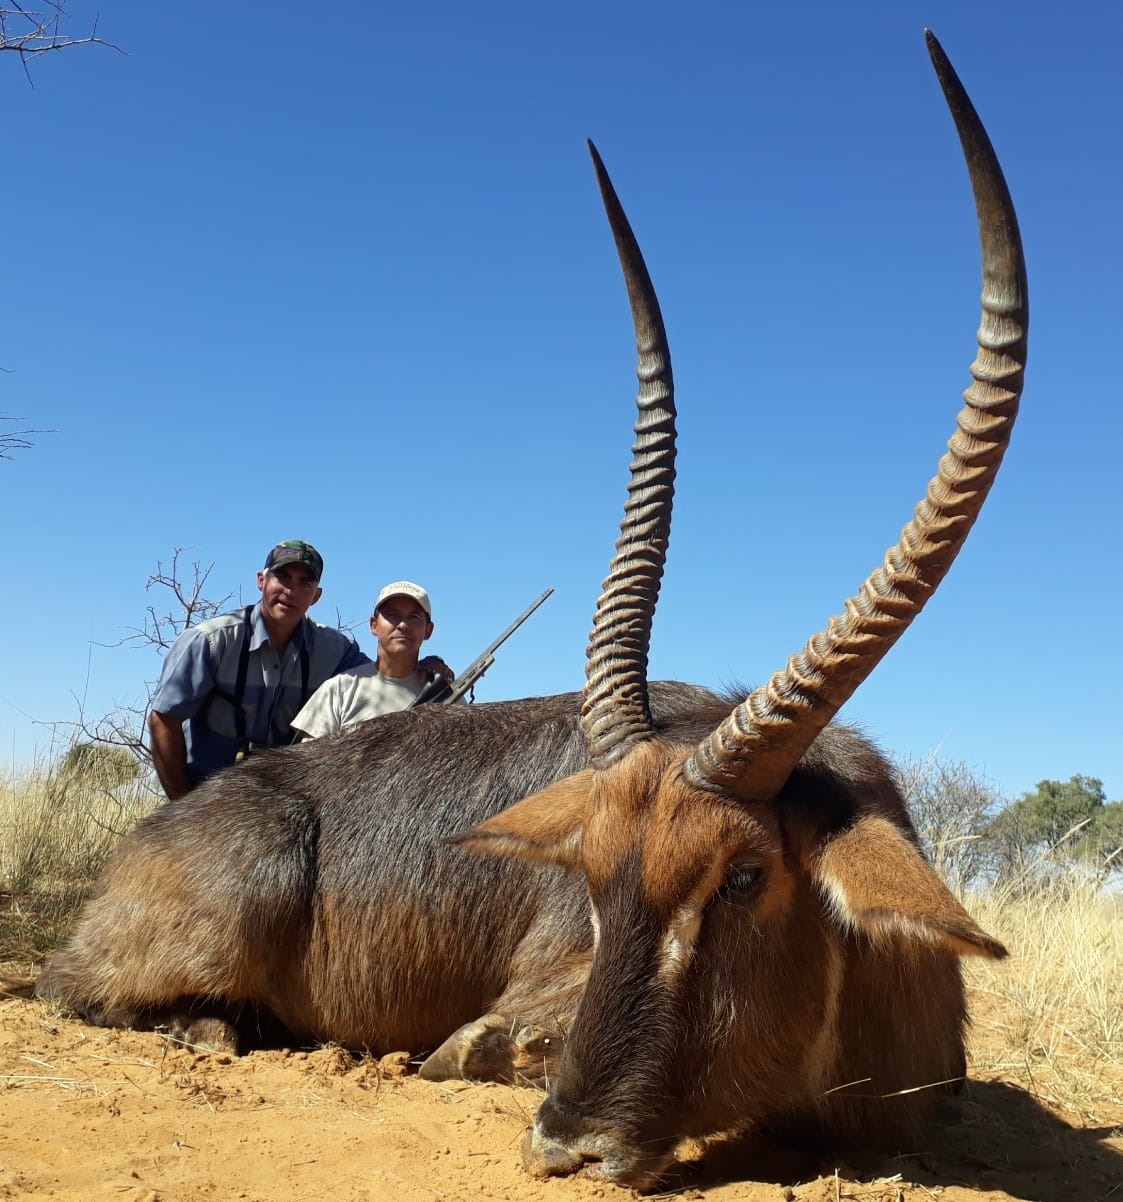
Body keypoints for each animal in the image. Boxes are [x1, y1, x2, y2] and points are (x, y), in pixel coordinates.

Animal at [36, 31, 1025, 1191]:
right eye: (590, 878)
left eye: (745, 875)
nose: (565, 1143)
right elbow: (483, 1043)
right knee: (79, 992)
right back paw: (218, 1024)